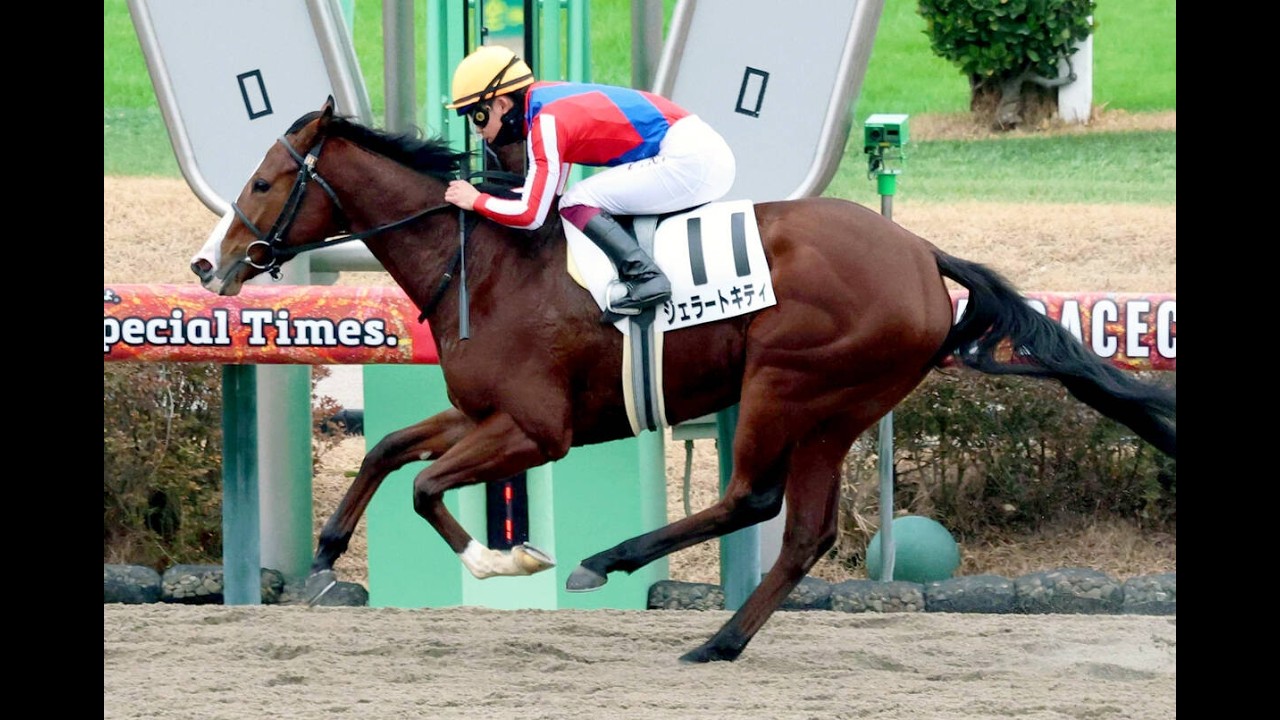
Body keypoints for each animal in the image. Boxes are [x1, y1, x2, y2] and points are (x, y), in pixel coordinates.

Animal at [190, 97, 1176, 663]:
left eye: (266, 181)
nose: (209, 265)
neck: (483, 262)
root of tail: (919, 250)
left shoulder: (536, 430)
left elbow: (428, 486)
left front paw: (507, 556)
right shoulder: (483, 411)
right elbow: (390, 447)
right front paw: (325, 548)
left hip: (791, 383)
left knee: (752, 501)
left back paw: (611, 565)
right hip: (840, 407)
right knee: (804, 531)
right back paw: (721, 640)